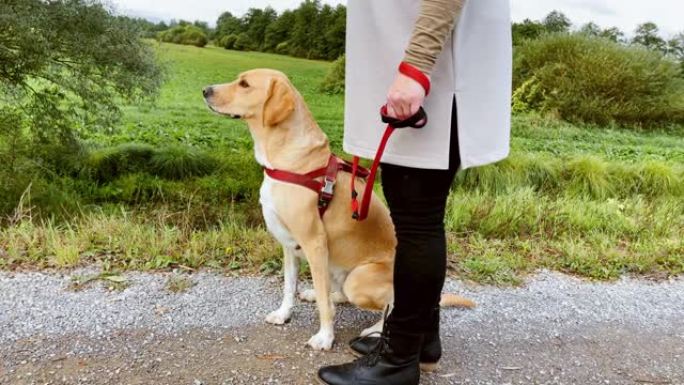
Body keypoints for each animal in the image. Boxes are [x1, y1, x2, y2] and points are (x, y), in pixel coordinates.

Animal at [200, 68, 472, 348]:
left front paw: (325, 337)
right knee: (338, 293)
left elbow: (323, 303)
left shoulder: (314, 243)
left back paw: (374, 330)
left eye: (244, 84)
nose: (205, 90)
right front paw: (284, 314)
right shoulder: (288, 245)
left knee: (389, 304)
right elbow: (289, 286)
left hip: (359, 279)